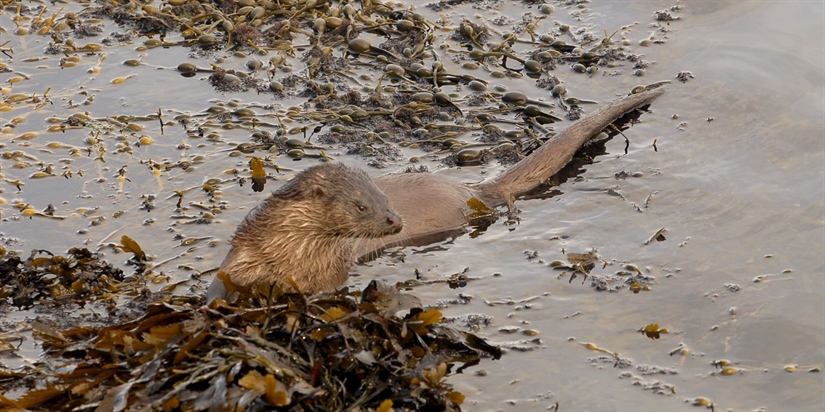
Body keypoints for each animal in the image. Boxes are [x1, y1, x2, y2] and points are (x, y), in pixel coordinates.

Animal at [209, 87, 668, 302]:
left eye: (385, 200)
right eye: (362, 205)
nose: (395, 221)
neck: (287, 256)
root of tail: (467, 188)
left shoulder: (329, 276)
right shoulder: (241, 260)